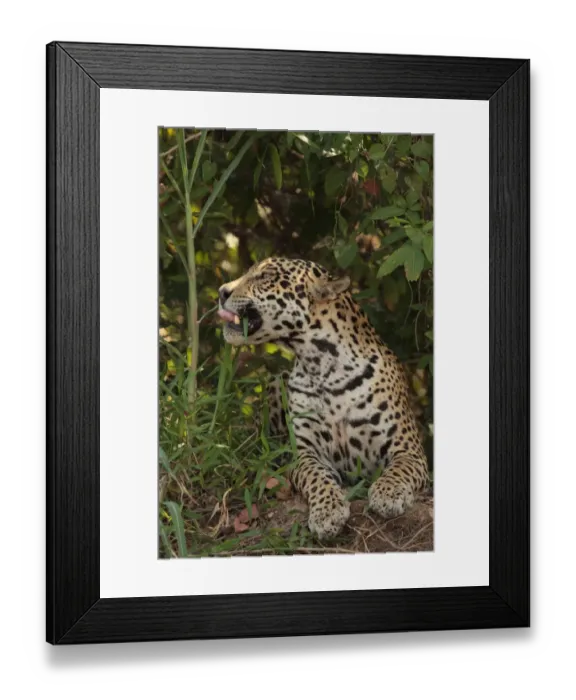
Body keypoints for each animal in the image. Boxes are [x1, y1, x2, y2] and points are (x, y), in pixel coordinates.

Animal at [217, 257, 429, 540]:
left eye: (265, 276)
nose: (221, 292)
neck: (322, 365)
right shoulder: (305, 453)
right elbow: (317, 478)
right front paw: (327, 513)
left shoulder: (408, 449)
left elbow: (399, 470)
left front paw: (388, 493)